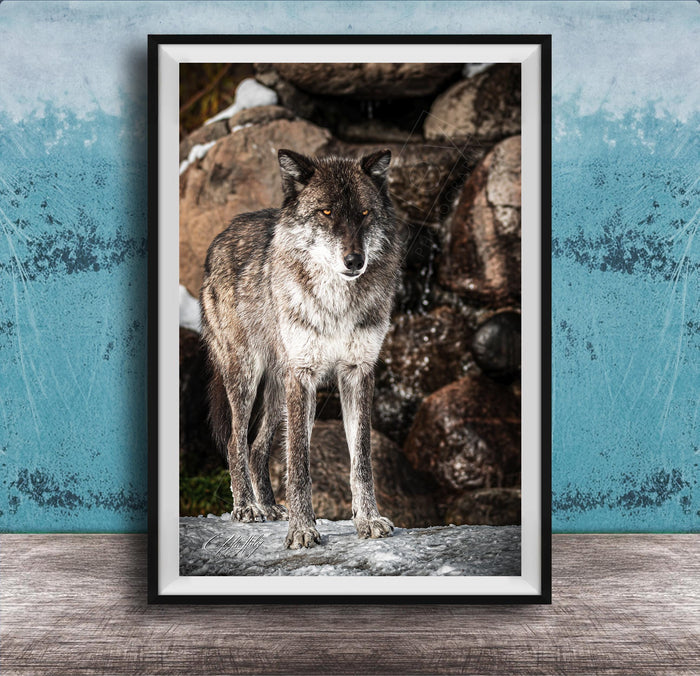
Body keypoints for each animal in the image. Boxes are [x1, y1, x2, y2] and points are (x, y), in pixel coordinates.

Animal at [200, 148, 403, 548]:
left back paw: (269, 506)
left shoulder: (357, 373)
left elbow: (362, 460)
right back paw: (246, 507)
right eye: (325, 212)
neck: (337, 303)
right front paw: (303, 529)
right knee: (235, 441)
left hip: (279, 388)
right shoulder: (304, 375)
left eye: (364, 213)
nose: (354, 261)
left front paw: (368, 520)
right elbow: (298, 463)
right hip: (247, 376)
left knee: (257, 447)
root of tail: (221, 237)